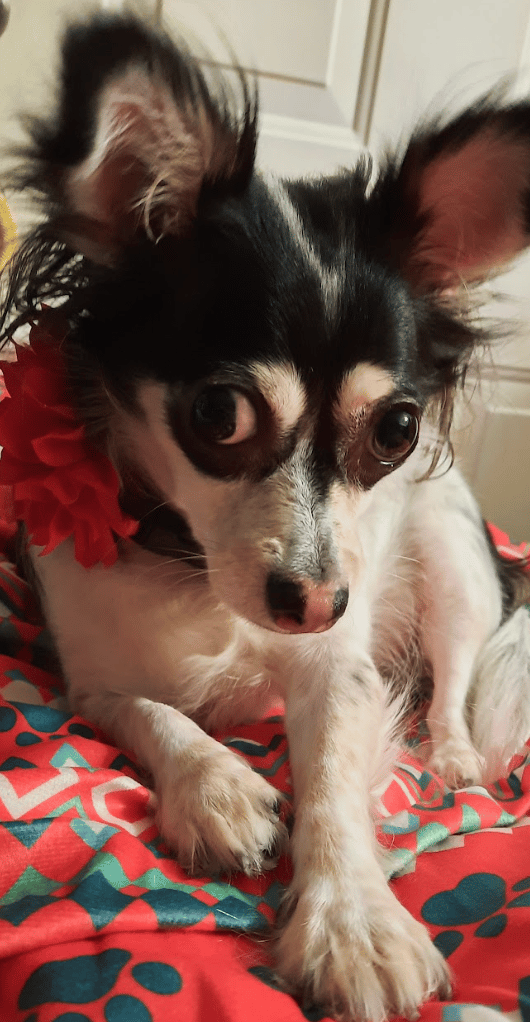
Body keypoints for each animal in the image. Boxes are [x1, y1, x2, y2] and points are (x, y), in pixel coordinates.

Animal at [1, 13, 530, 1022]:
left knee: (450, 680)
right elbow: (150, 712)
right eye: (219, 416)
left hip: (452, 563)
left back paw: (450, 756)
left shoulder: (340, 671)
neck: (197, 571)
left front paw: (352, 920)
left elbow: (329, 781)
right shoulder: (85, 682)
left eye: (396, 430)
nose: (318, 603)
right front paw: (216, 786)